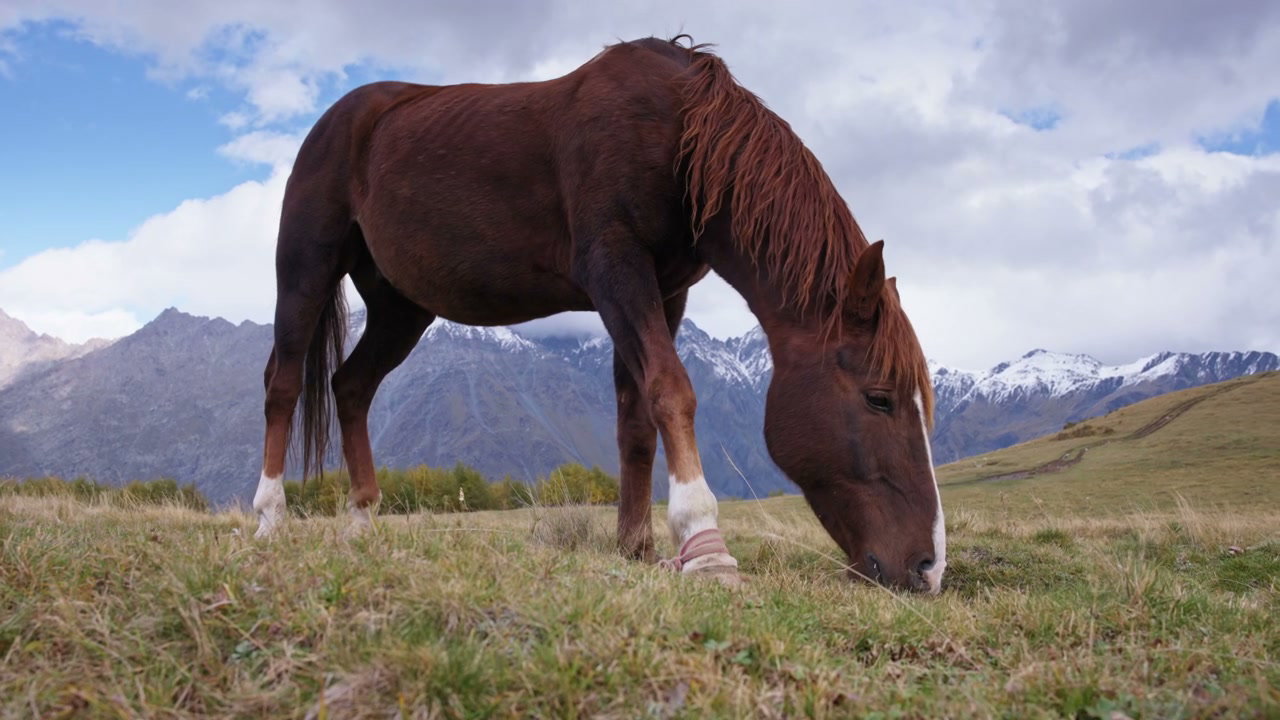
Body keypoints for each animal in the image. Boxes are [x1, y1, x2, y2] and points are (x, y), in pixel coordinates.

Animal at [251, 36, 946, 593]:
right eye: (880, 398)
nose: (929, 568)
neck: (678, 132)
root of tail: (342, 117)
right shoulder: (615, 268)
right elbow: (672, 389)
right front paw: (705, 547)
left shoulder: (664, 291)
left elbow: (636, 419)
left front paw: (635, 547)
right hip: (306, 269)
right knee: (283, 384)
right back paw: (269, 518)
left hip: (400, 307)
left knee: (350, 387)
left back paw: (362, 522)